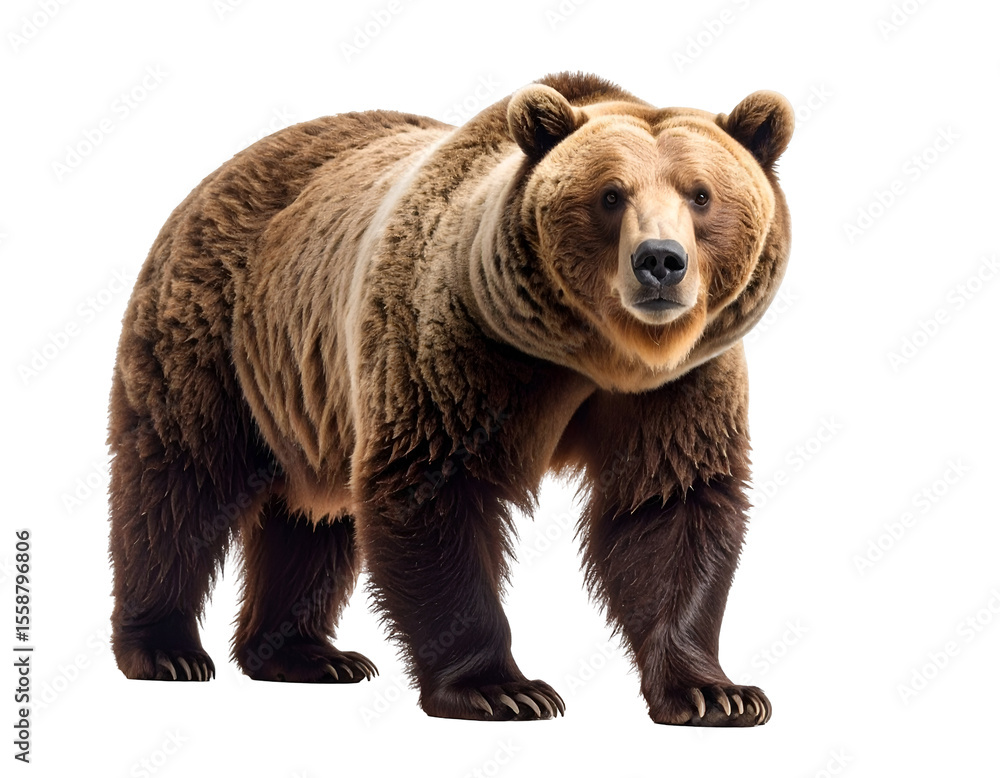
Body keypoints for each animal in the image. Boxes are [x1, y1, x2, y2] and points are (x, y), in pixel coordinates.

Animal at [107, 72, 793, 726]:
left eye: (700, 194)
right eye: (610, 194)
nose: (660, 261)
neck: (593, 355)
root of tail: (216, 176)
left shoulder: (679, 384)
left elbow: (669, 505)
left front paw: (716, 693)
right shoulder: (457, 343)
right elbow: (431, 491)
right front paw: (502, 690)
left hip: (307, 398)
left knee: (309, 520)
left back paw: (304, 654)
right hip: (219, 336)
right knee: (179, 484)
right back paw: (166, 649)